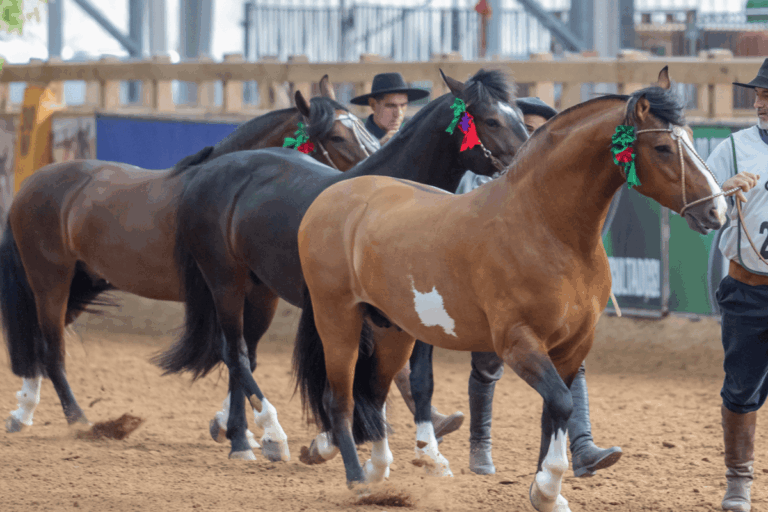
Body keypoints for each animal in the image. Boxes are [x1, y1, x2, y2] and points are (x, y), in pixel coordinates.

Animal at [0, 75, 378, 463]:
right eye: (337, 137)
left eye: (365, 127)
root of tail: (31, 185)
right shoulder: (225, 290)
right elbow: (236, 356)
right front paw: (262, 433)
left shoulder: (260, 296)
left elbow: (246, 358)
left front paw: (232, 427)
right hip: (50, 282)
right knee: (51, 349)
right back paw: (79, 421)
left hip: (81, 283)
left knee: (40, 342)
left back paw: (23, 413)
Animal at [156, 68, 530, 464]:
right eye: (491, 120)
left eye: (520, 116)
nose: (523, 162)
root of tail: (210, 169)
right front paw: (332, 440)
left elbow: (419, 378)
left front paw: (428, 451)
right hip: (224, 281)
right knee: (235, 353)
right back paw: (262, 436)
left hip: (260, 292)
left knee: (244, 353)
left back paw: (240, 432)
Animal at [292, 67, 728, 510]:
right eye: (661, 146)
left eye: (690, 138)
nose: (717, 210)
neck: (545, 227)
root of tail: (330, 198)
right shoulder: (518, 342)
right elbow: (561, 402)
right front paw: (549, 485)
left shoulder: (573, 345)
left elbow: (555, 410)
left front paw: (545, 493)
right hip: (338, 321)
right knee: (340, 400)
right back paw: (357, 481)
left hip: (394, 330)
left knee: (375, 394)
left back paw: (380, 472)